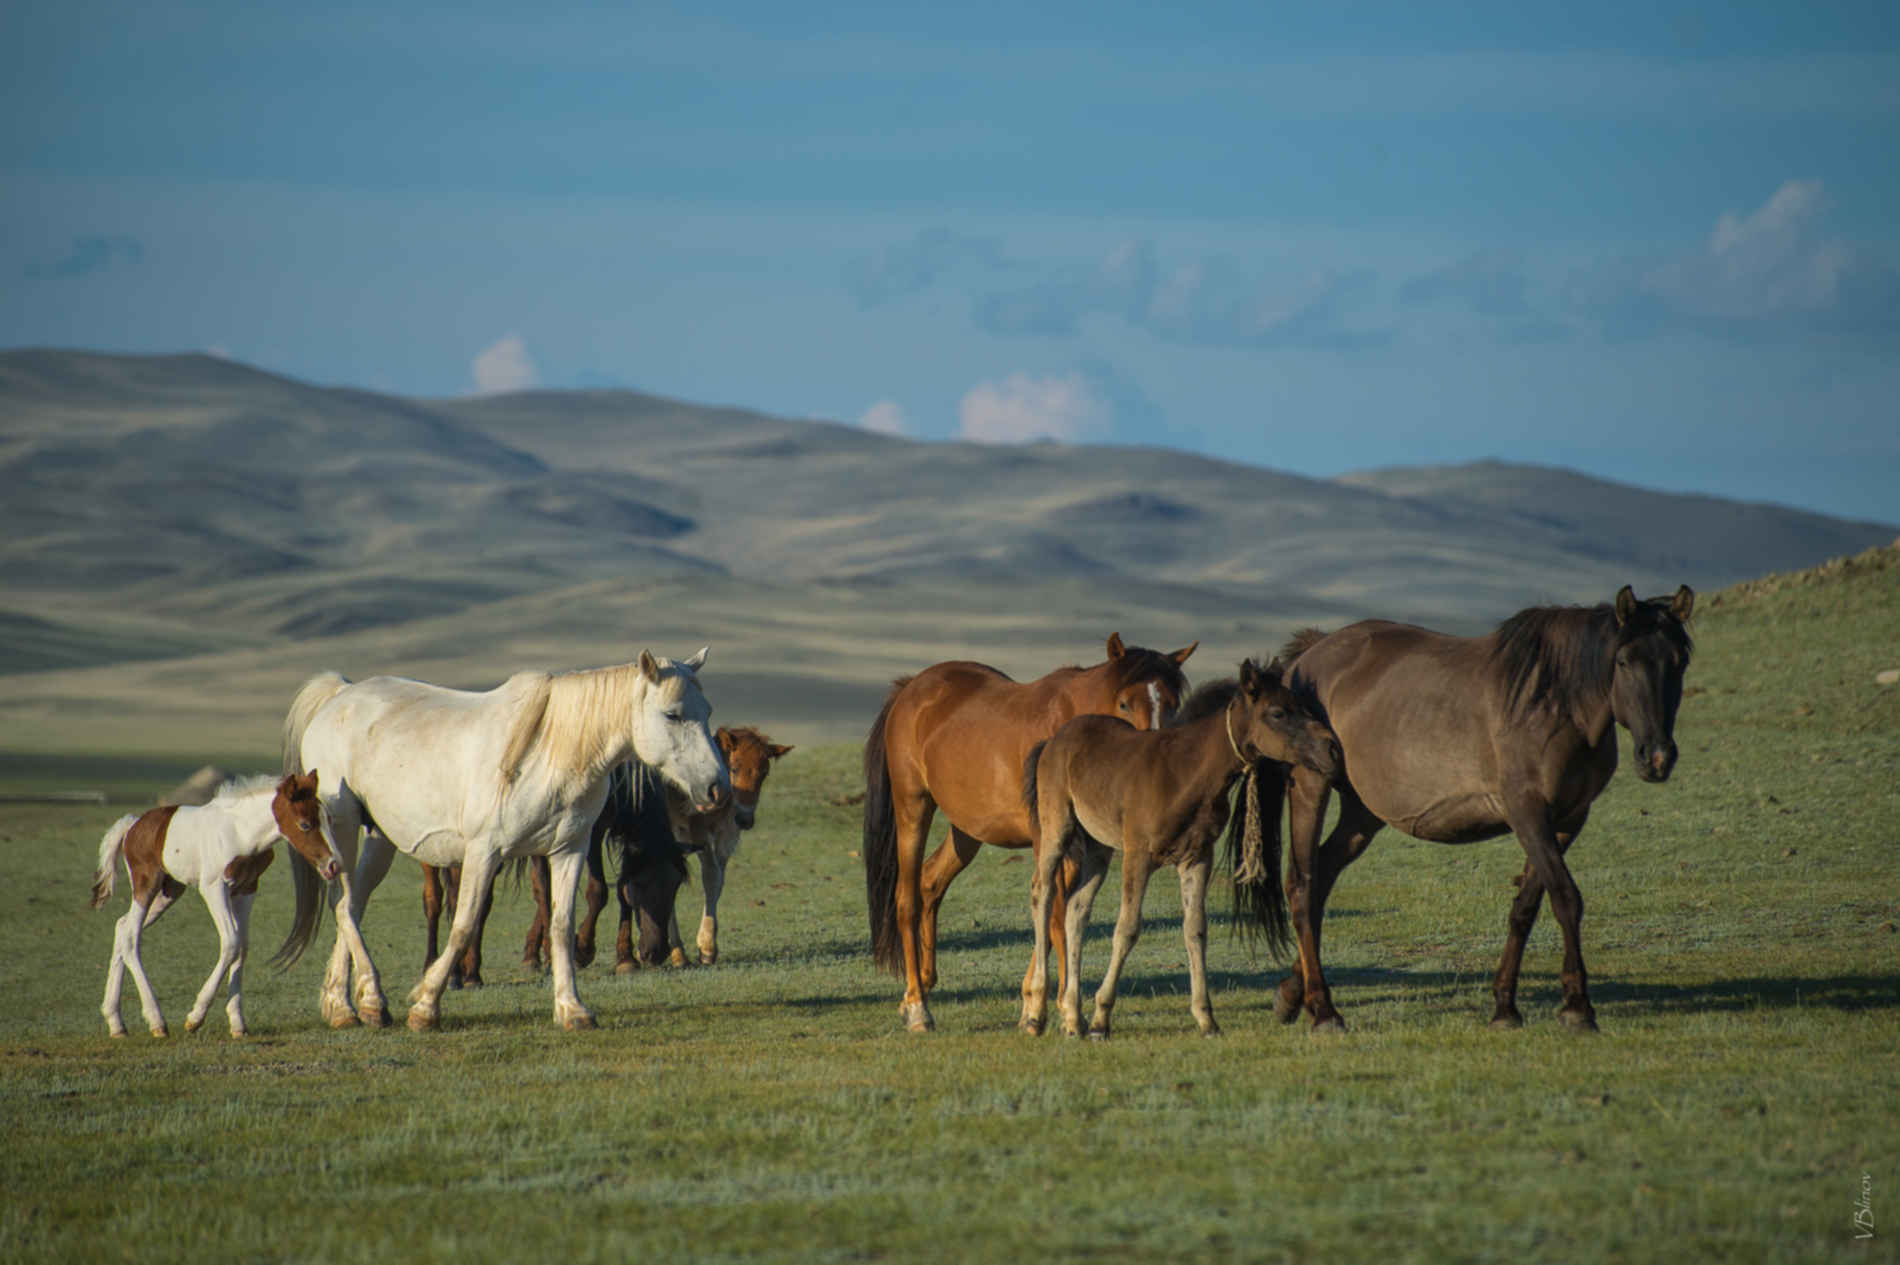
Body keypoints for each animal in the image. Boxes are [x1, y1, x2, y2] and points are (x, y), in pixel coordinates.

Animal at [89, 767, 370, 1033]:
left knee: (122, 927)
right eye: (304, 824)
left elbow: (242, 947)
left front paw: (237, 1023)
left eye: (328, 820)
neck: (241, 833)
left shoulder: (247, 889)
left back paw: (116, 1023)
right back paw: (156, 1020)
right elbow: (231, 942)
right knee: (131, 936)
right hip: (146, 886)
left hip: (169, 892)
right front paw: (196, 1016)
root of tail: (132, 825)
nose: (334, 865)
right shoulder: (214, 888)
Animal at [277, 649, 729, 1025]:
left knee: (352, 904)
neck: (551, 751)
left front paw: (571, 1008)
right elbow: (464, 923)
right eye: (672, 715)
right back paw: (365, 998)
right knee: (342, 902)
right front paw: (427, 1002)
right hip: (342, 827)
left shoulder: (569, 850)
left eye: (708, 711)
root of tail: (340, 694)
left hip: (380, 837)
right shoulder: (484, 852)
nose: (717, 788)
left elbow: (561, 924)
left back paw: (347, 1004)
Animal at [866, 634, 1193, 1033]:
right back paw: (917, 1007)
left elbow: (1062, 915)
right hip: (913, 807)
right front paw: (1064, 1008)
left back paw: (922, 987)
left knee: (930, 882)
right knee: (907, 899)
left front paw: (1034, 1003)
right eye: (1124, 703)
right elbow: (1056, 917)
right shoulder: (1046, 839)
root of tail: (912, 688)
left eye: (1174, 703)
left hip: (968, 828)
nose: (1155, 759)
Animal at [1018, 660, 1345, 1033]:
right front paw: (1102, 1018)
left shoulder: (1197, 857)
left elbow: (1195, 930)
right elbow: (1127, 929)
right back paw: (1037, 1014)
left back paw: (1073, 1018)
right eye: (1277, 712)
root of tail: (1052, 740)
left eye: (1302, 706)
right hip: (1057, 828)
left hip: (1098, 846)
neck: (1185, 772)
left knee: (1076, 908)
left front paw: (1206, 1018)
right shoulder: (1138, 854)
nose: (1332, 750)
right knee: (1043, 893)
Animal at [1276, 585, 1694, 1033]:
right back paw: (1323, 1011)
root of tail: (1310, 653)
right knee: (1302, 885)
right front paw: (1578, 1007)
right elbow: (1566, 898)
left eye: (1679, 662)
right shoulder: (1527, 813)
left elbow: (1526, 907)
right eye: (1623, 661)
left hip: (1362, 814)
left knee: (1322, 878)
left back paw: (1294, 995)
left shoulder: (1567, 820)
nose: (1657, 757)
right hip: (1310, 787)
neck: (1559, 705)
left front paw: (1505, 1007)